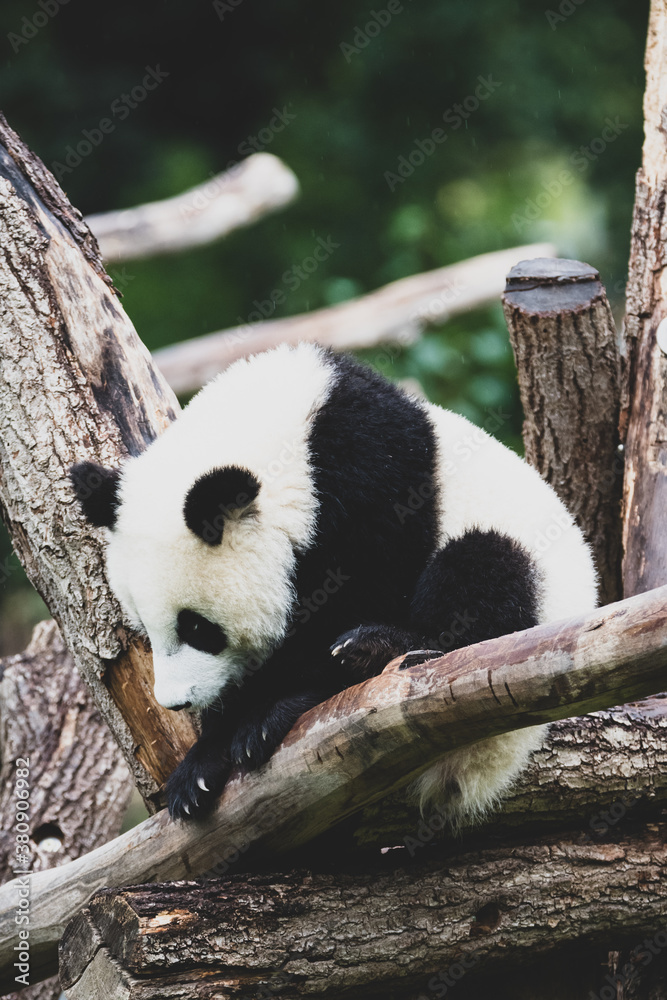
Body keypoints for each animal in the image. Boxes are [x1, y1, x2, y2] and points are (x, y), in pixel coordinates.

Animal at [70, 343, 598, 824]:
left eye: (197, 628)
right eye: (146, 629)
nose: (175, 702)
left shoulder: (372, 478)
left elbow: (359, 591)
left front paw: (268, 714)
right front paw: (199, 768)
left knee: (485, 575)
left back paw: (374, 648)